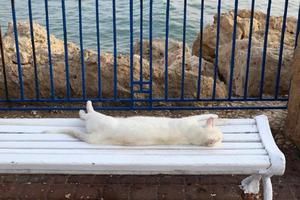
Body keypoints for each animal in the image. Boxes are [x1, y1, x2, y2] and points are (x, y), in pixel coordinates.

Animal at [47, 101, 224, 147]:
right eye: (221, 137)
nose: (223, 140)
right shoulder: (191, 119)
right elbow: (205, 114)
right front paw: (215, 115)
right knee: (88, 115)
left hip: (96, 130)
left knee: (87, 118)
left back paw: (83, 111)